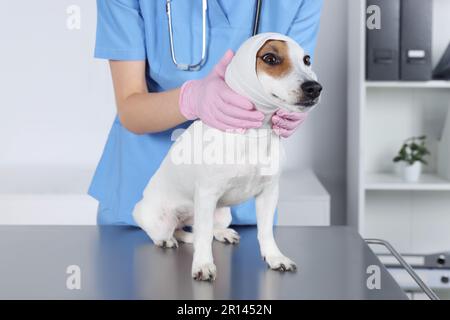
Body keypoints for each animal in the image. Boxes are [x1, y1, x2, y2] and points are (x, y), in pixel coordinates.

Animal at [132, 33, 322, 282]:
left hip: (222, 213)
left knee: (201, 228)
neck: (254, 133)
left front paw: (275, 257)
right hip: (161, 218)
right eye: (270, 58)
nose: (315, 88)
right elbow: (203, 236)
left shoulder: (269, 193)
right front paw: (203, 264)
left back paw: (221, 233)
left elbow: (265, 231)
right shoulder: (206, 194)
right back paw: (168, 239)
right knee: (177, 231)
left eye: (307, 60)